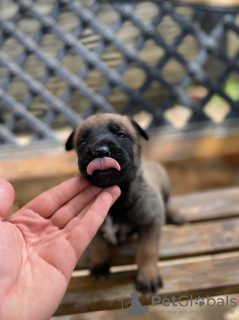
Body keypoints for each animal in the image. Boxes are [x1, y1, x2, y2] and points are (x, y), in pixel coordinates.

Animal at [65, 114, 181, 294]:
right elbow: (98, 246)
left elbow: (147, 251)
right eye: (82, 142)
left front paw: (148, 276)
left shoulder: (151, 222)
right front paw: (99, 264)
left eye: (121, 135)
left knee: (167, 201)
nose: (100, 152)